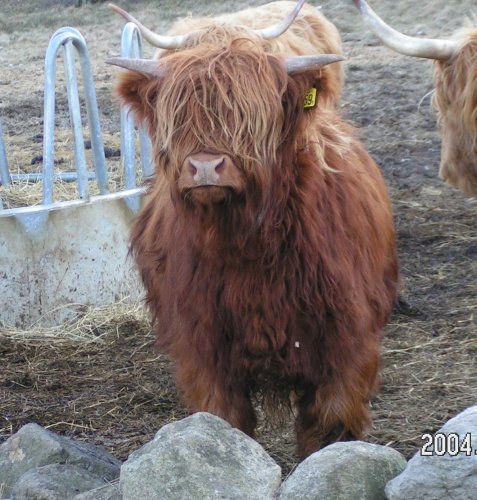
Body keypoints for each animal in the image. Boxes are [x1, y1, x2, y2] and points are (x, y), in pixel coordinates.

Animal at [108, 0, 398, 460]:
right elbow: (223, 422)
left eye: (247, 112)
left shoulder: (347, 335)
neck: (246, 243)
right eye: (178, 115)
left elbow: (329, 424)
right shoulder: (203, 345)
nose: (205, 166)